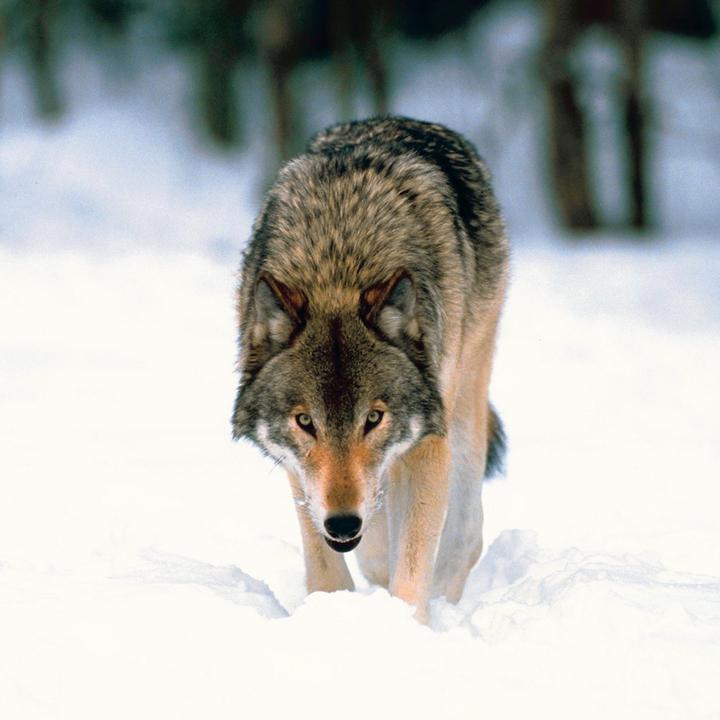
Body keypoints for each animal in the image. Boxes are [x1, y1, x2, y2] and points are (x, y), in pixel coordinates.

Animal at [232, 116, 508, 621]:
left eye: (374, 418)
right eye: (306, 422)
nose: (343, 523)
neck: (338, 263)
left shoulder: (428, 441)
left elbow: (412, 566)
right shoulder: (301, 473)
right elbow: (328, 568)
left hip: (464, 400)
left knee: (465, 535)